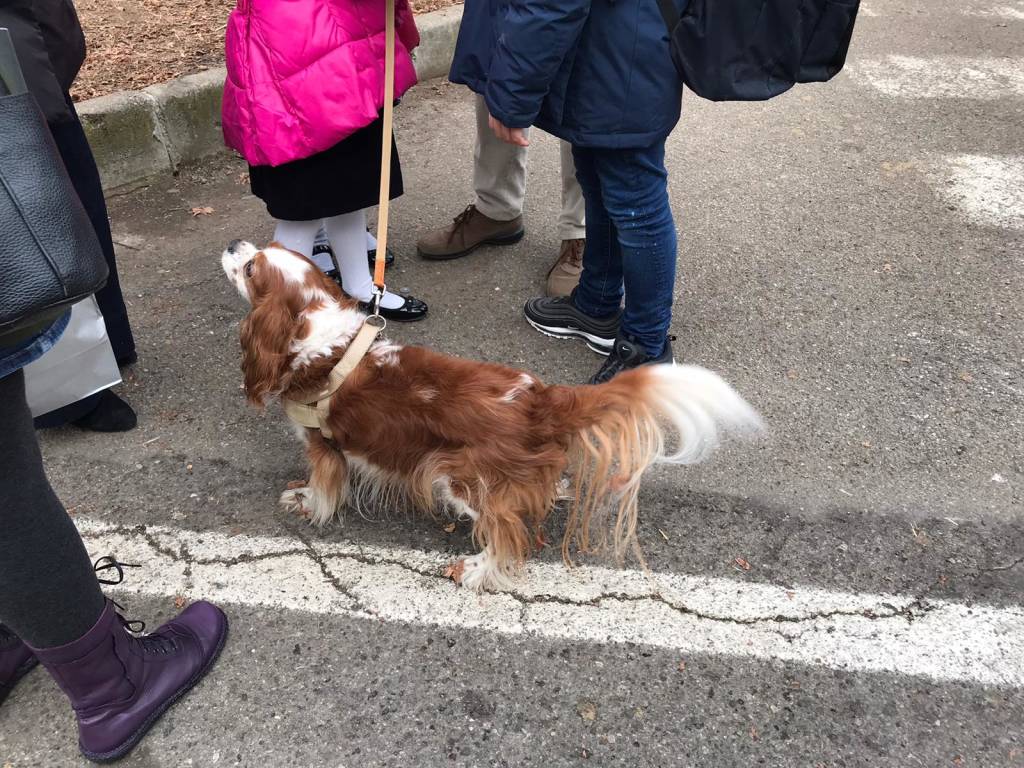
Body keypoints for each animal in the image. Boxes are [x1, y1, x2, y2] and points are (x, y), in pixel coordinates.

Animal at [226, 243, 770, 593]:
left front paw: (307, 503)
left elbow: (323, 486)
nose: (234, 244)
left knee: (507, 531)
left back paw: (476, 570)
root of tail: (541, 400)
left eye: (250, 267)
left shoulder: (322, 444)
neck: (317, 335)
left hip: (461, 478)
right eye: (266, 249)